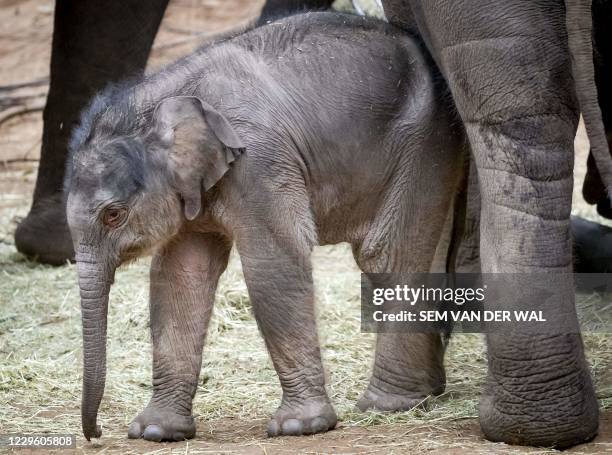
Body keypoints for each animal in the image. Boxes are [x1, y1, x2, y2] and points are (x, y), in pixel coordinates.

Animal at [65, 12, 464, 444]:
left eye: (113, 215)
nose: (96, 432)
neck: (163, 98)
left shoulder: (260, 161)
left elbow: (274, 263)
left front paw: (299, 427)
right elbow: (181, 276)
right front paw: (155, 431)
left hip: (423, 142)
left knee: (389, 256)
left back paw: (387, 405)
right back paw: (425, 394)